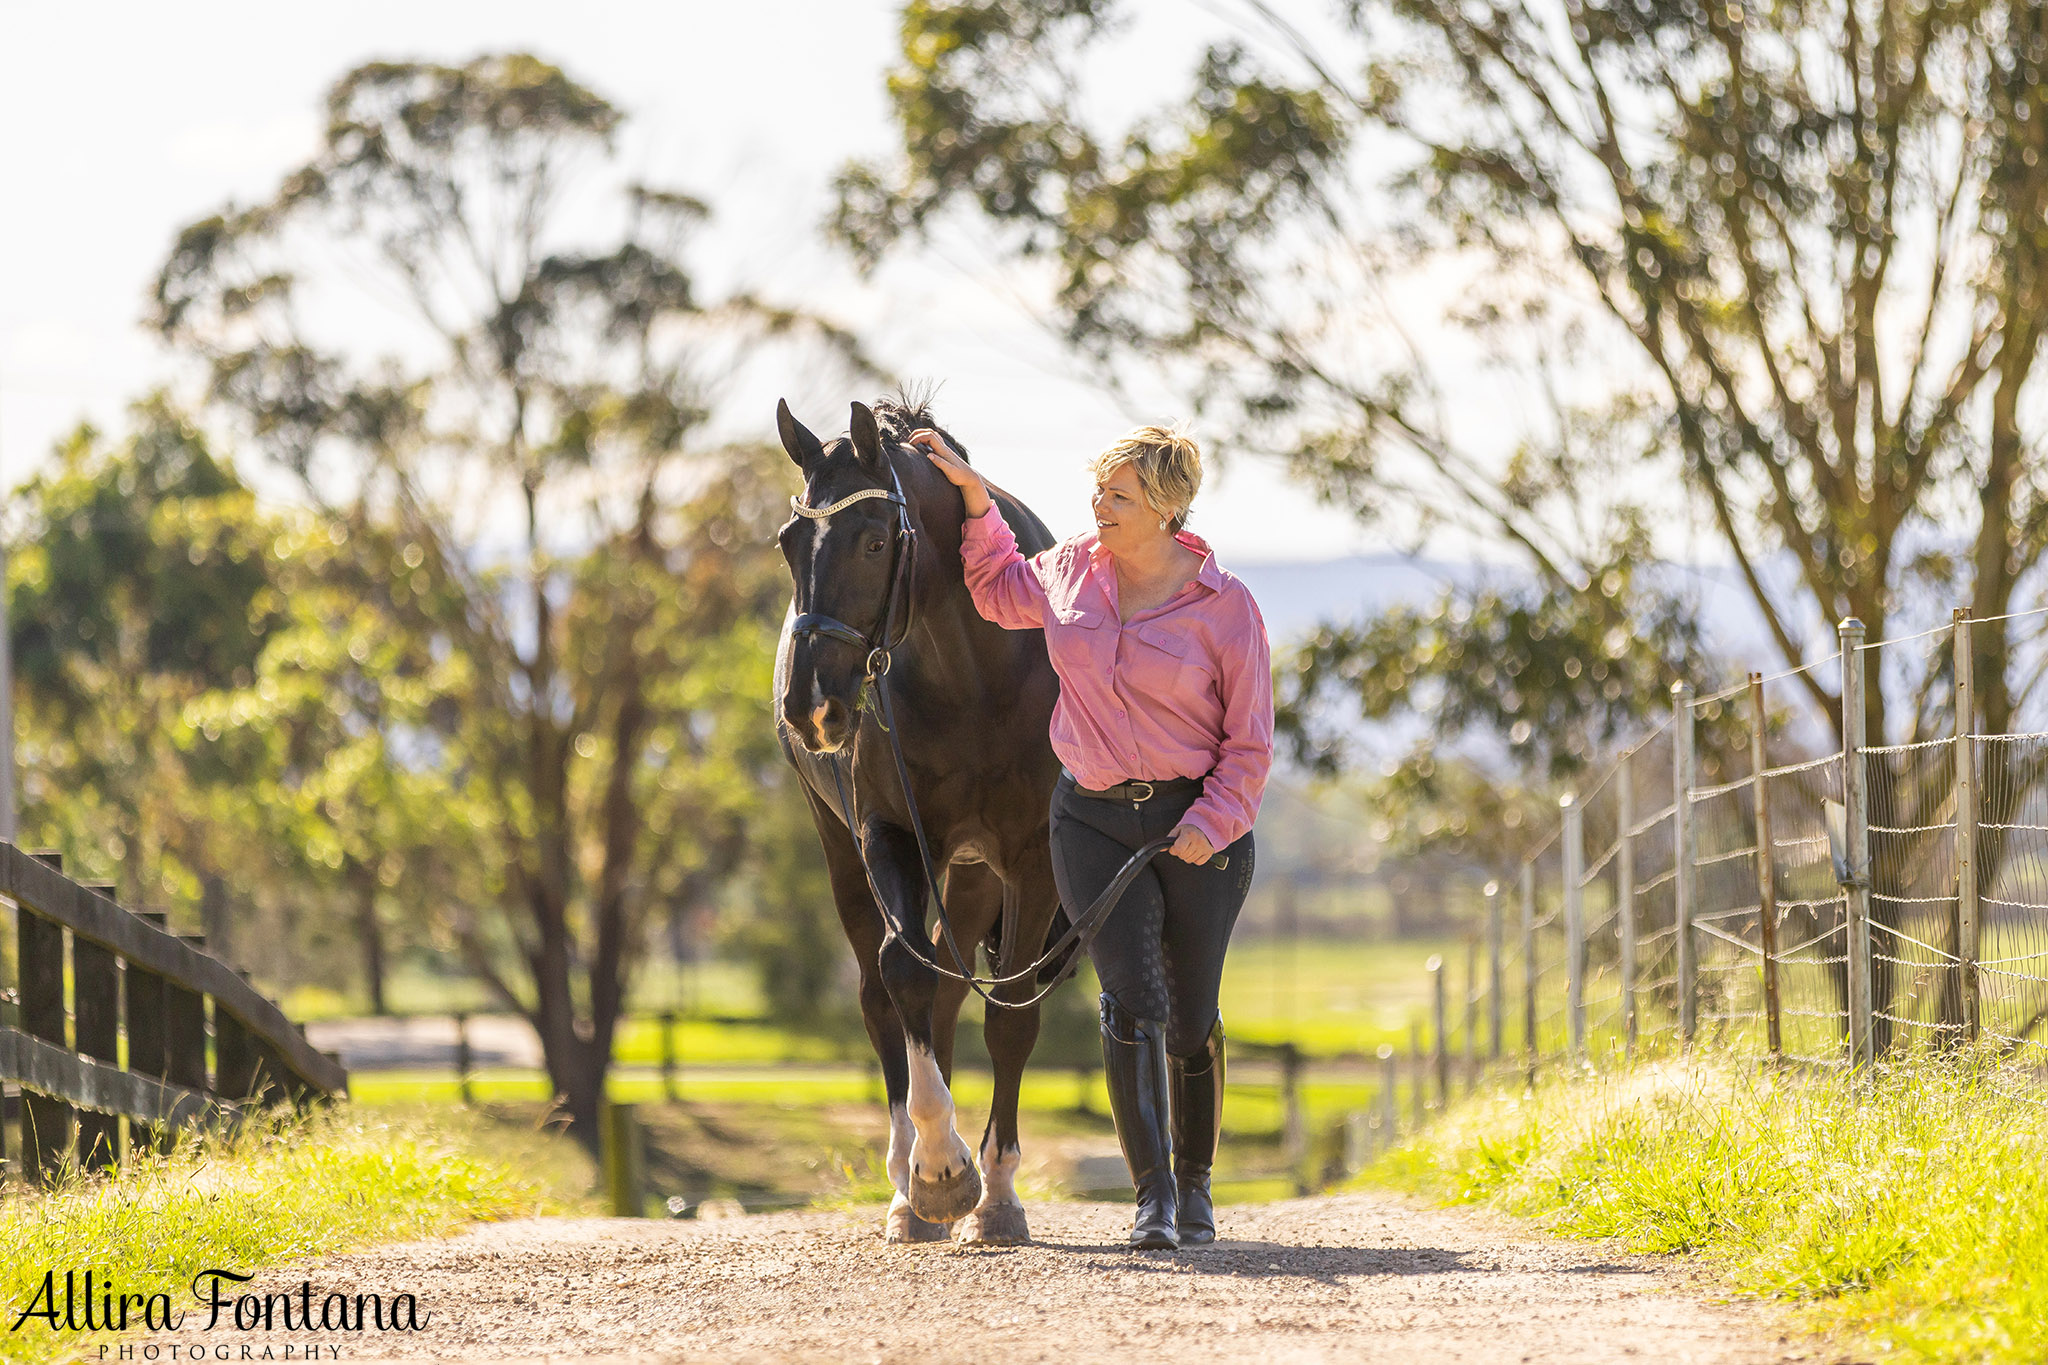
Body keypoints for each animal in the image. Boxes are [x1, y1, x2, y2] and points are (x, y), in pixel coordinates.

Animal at [770, 397, 1073, 1252]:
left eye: (875, 540)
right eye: (789, 541)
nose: (809, 705)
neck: (974, 675)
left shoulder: (1030, 859)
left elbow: (1011, 1016)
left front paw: (996, 1192)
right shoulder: (890, 837)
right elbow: (902, 973)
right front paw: (938, 1172)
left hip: (971, 878)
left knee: (944, 996)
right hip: (848, 856)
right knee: (886, 995)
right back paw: (907, 1185)